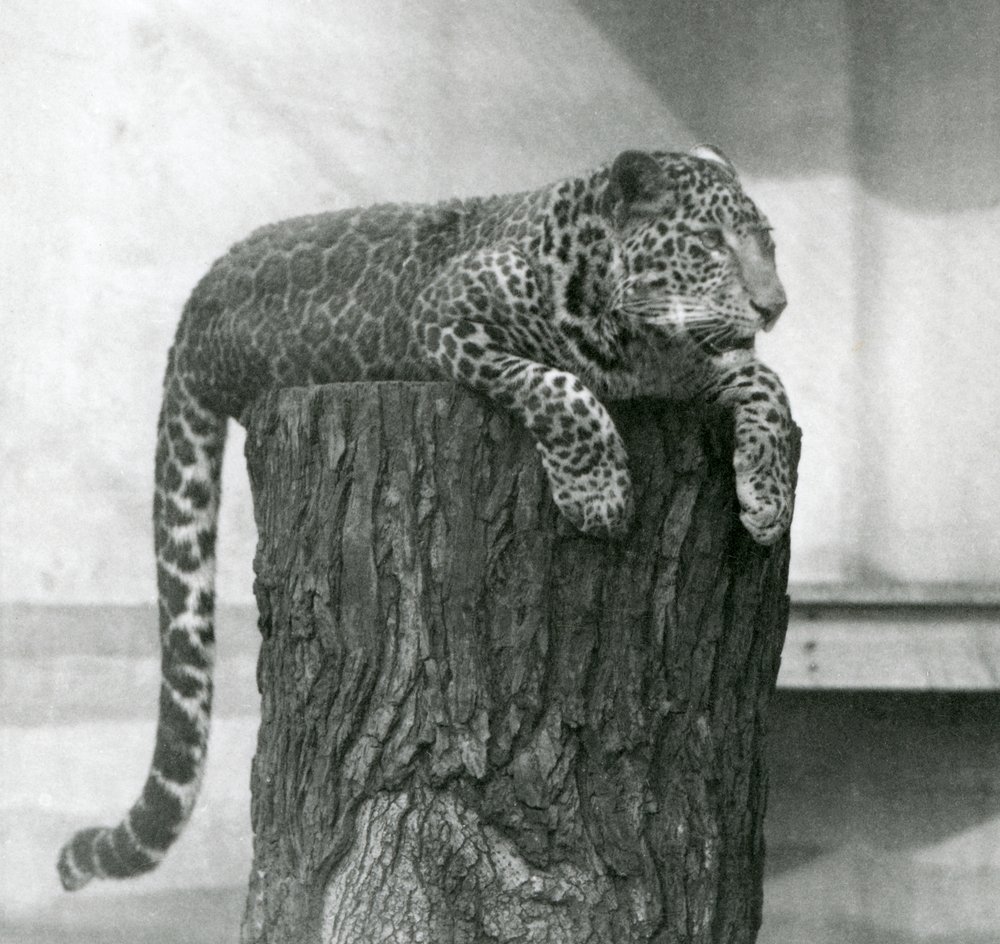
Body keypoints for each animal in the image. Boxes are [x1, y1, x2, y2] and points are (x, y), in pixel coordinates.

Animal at [57, 144, 794, 891]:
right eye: (709, 242)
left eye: (768, 242)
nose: (775, 306)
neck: (640, 341)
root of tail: (199, 296)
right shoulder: (447, 320)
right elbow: (559, 386)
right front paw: (599, 494)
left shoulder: (696, 367)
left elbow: (770, 390)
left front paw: (768, 500)